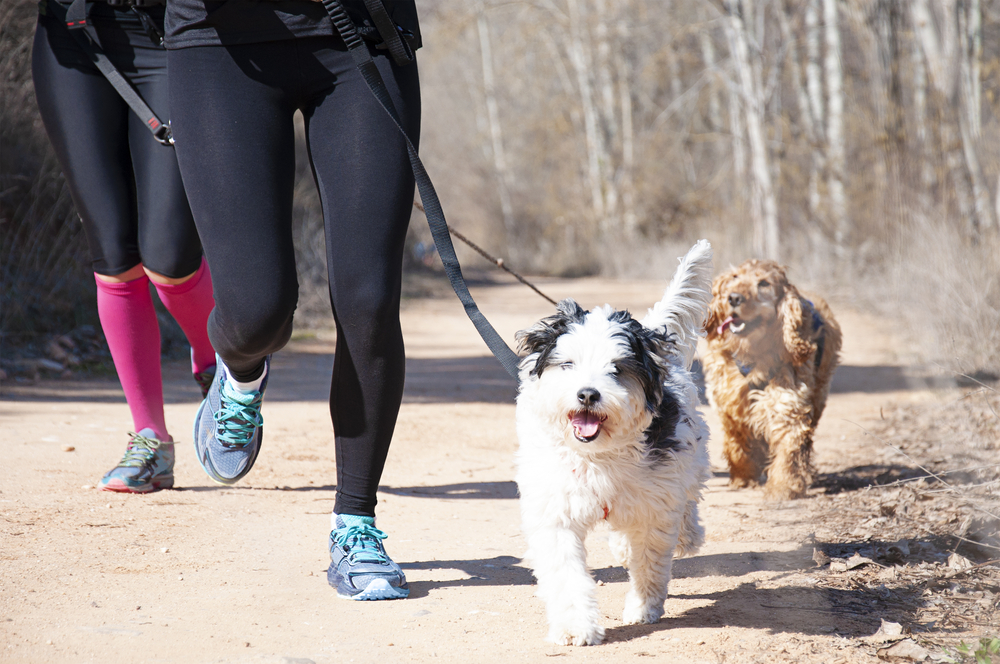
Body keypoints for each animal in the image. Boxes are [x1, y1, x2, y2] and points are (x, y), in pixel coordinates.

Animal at [512, 240, 716, 644]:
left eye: (617, 369)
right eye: (568, 364)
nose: (587, 394)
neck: (597, 454)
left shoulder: (655, 500)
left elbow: (650, 560)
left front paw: (644, 606)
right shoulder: (556, 510)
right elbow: (566, 573)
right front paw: (575, 626)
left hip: (687, 462)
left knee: (685, 508)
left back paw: (687, 536)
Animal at [700, 260, 840, 498]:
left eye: (763, 283)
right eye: (735, 278)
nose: (734, 298)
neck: (752, 352)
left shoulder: (787, 402)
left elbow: (789, 446)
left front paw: (783, 487)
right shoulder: (728, 404)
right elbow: (736, 443)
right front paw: (744, 477)